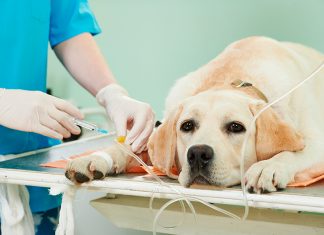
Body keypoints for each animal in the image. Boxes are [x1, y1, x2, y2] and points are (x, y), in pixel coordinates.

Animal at [64, 36, 324, 194]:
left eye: (236, 127)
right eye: (187, 126)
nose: (198, 154)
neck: (232, 78)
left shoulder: (315, 143)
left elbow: (292, 152)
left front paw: (268, 167)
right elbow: (126, 147)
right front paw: (95, 157)